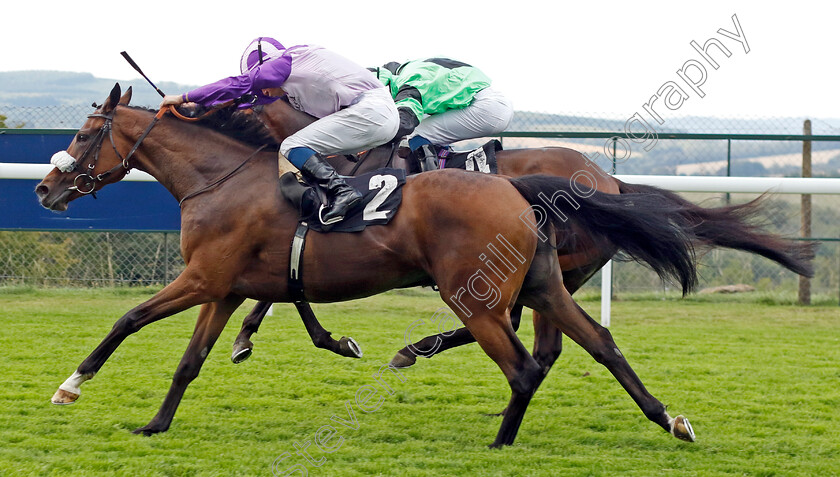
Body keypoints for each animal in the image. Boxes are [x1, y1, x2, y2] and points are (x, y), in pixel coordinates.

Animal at [32, 83, 708, 444]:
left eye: (86, 135)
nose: (44, 189)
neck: (220, 179)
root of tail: (516, 189)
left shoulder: (202, 278)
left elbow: (128, 319)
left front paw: (70, 385)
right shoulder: (225, 287)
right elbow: (189, 361)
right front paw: (155, 424)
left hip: (478, 296)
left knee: (524, 367)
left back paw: (498, 439)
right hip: (546, 284)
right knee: (599, 343)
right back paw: (668, 419)